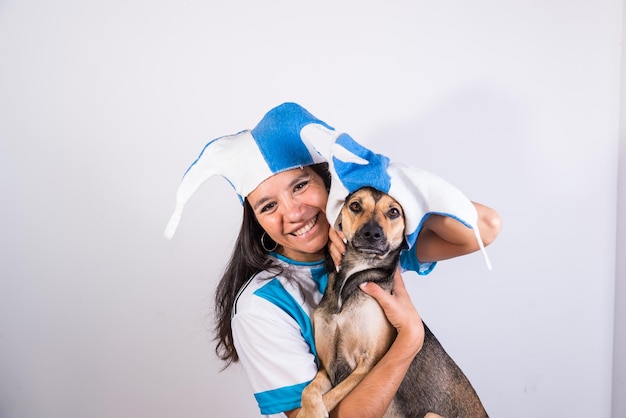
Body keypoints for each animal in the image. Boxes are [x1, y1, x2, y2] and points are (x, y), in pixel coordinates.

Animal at [294, 189, 486, 418]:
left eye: (393, 212)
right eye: (355, 205)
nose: (372, 233)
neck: (355, 274)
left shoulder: (367, 365)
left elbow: (332, 394)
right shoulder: (326, 366)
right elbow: (309, 389)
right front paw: (310, 411)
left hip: (432, 415)